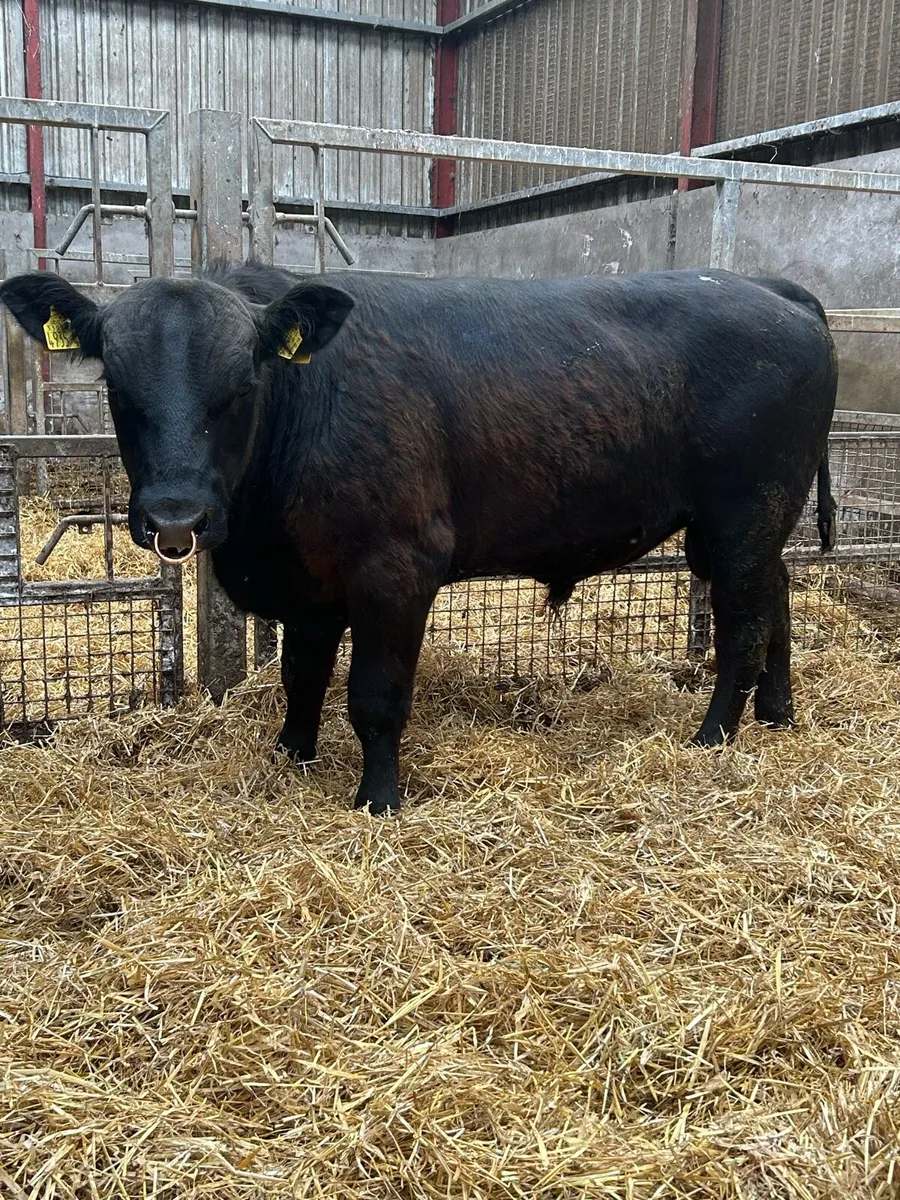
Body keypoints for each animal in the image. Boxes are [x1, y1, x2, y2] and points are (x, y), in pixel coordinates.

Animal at [0, 265, 837, 814]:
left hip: (742, 514)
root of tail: (768, 287)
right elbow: (301, 679)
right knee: (777, 597)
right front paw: (290, 756)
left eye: (241, 386)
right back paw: (778, 714)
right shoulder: (309, 586)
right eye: (118, 388)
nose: (177, 517)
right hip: (751, 524)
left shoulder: (396, 568)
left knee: (744, 623)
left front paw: (378, 800)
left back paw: (715, 735)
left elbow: (374, 696)